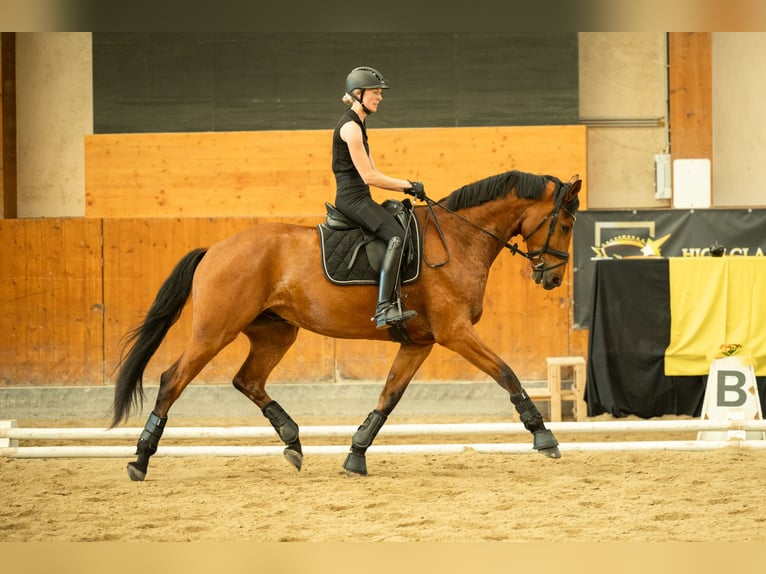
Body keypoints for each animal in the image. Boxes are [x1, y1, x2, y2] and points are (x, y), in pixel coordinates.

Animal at [111, 169, 582, 481]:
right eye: (565, 222)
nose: (552, 278)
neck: (456, 238)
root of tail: (214, 249)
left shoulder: (420, 343)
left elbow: (388, 397)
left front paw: (356, 454)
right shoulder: (455, 332)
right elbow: (507, 373)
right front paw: (544, 437)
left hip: (276, 332)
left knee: (247, 380)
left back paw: (292, 441)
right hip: (215, 331)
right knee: (173, 380)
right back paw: (140, 459)